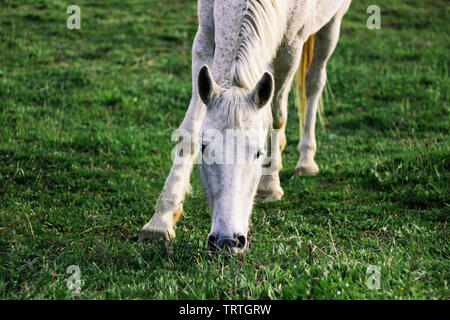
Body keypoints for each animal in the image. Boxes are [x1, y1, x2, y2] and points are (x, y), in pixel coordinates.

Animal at [141, 0, 352, 254]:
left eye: (258, 153)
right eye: (204, 149)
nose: (227, 240)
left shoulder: (290, 47)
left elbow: (277, 115)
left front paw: (269, 186)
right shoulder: (204, 38)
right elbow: (189, 130)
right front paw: (160, 221)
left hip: (332, 23)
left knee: (313, 82)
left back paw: (306, 160)